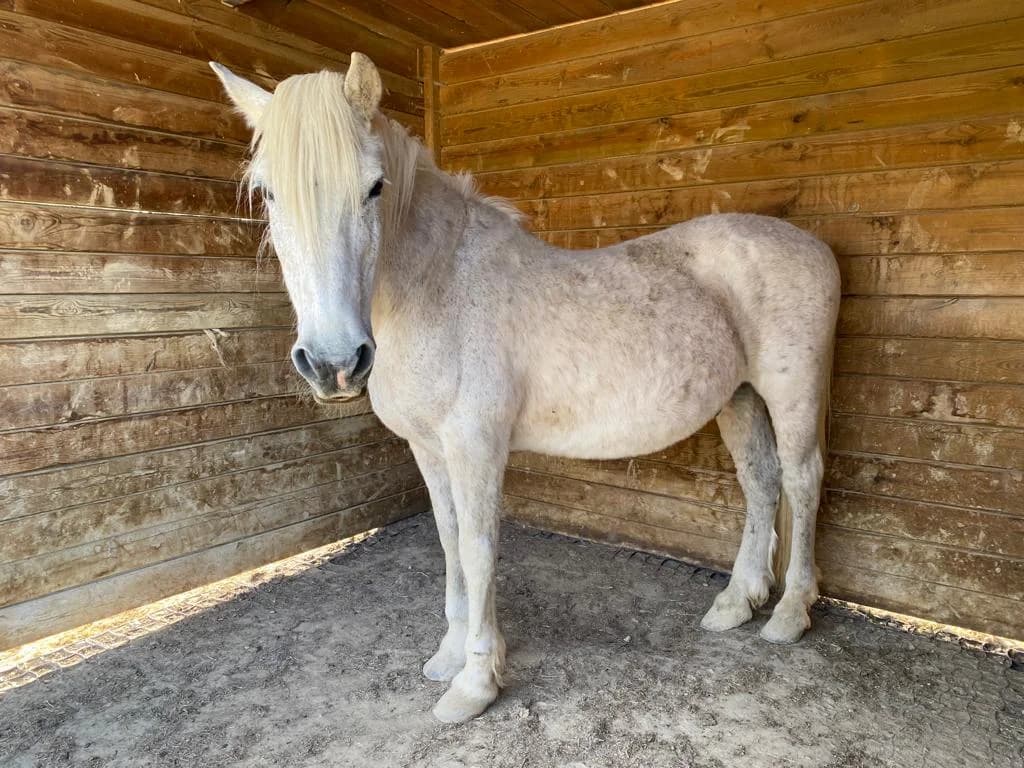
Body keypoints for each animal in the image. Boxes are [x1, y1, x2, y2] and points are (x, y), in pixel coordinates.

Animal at [211, 54, 841, 724]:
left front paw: (475, 682)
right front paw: (448, 655)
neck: (438, 289)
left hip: (790, 392)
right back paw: (735, 604)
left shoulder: (476, 447)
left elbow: (479, 547)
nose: (333, 363)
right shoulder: (429, 449)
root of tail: (815, 246)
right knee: (761, 482)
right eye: (268, 192)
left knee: (802, 480)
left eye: (375, 186)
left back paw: (789, 614)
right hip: (739, 397)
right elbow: (449, 541)